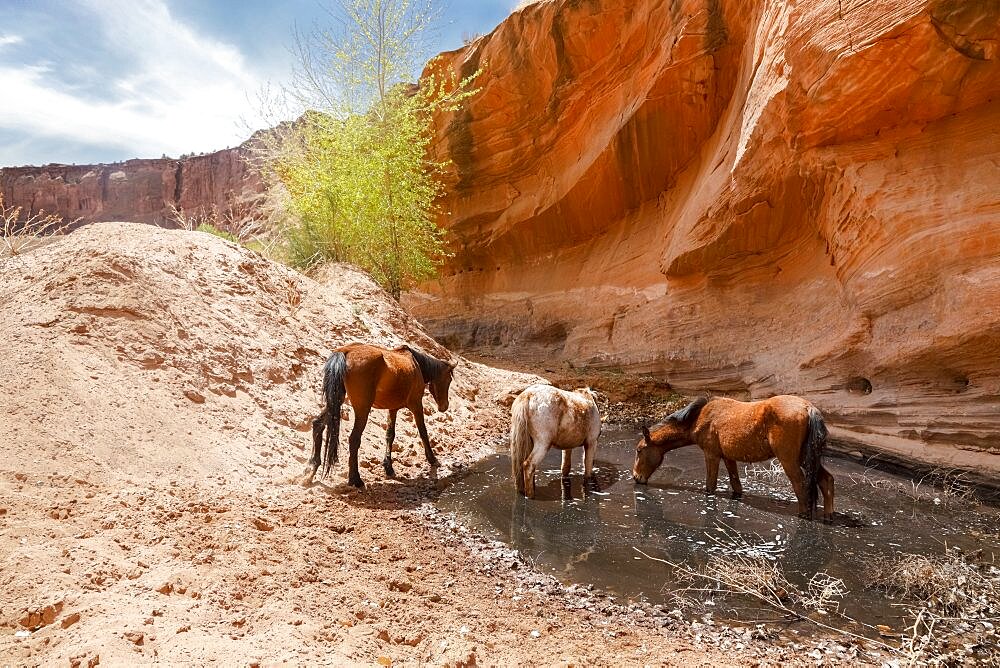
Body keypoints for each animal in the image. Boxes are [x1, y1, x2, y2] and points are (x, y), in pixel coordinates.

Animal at [308, 342, 458, 488]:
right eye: (449, 380)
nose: (444, 406)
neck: (416, 364)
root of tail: (345, 352)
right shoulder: (416, 405)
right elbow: (423, 432)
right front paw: (433, 459)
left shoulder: (393, 409)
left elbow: (390, 435)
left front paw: (388, 467)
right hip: (362, 409)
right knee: (354, 439)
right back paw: (355, 480)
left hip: (336, 401)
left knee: (318, 425)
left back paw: (311, 469)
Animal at [632, 396, 836, 520]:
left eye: (639, 450)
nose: (636, 477)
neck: (700, 417)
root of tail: (808, 408)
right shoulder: (728, 457)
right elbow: (736, 484)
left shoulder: (712, 455)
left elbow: (710, 485)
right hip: (807, 458)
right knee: (826, 480)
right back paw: (829, 516)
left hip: (790, 460)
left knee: (800, 485)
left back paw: (804, 516)